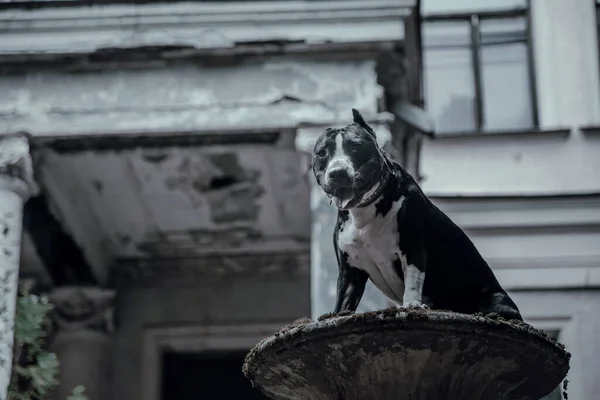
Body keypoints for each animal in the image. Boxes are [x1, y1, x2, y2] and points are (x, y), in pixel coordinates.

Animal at [312, 108, 524, 320]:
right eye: (322, 153)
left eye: (356, 146)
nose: (338, 172)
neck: (365, 208)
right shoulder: (350, 269)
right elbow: (343, 300)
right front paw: (335, 315)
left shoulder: (412, 248)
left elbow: (413, 281)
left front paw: (412, 305)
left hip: (495, 300)